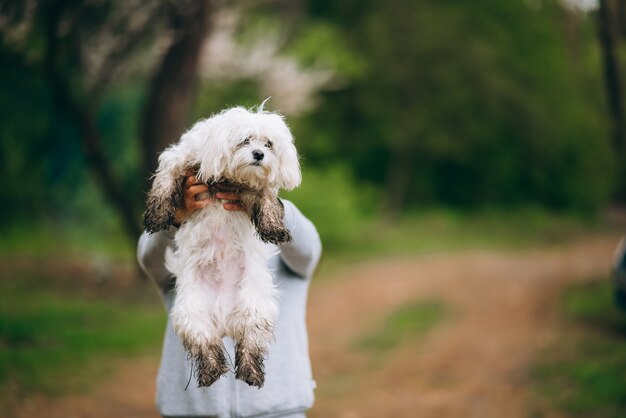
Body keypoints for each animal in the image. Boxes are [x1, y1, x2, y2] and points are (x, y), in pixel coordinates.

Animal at [146, 105, 302, 388]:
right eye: (245, 140)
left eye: (269, 144)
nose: (259, 154)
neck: (232, 179)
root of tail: (223, 320)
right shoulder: (182, 157)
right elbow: (165, 180)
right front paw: (158, 214)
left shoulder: (254, 190)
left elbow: (267, 195)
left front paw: (273, 227)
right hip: (192, 313)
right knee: (205, 343)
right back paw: (211, 371)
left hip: (255, 309)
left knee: (249, 343)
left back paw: (250, 372)